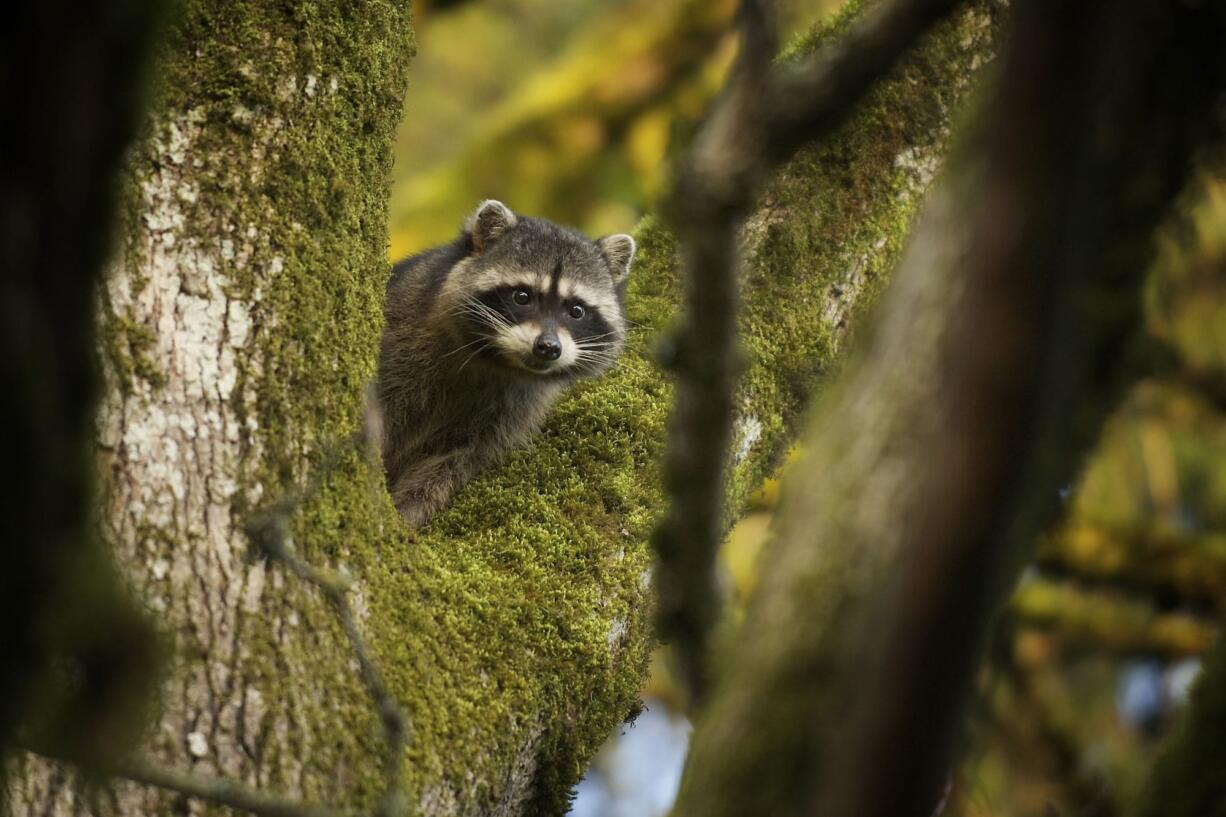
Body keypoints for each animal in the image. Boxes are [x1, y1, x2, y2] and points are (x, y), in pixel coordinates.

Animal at [377, 199, 637, 525]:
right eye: (522, 296)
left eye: (576, 311)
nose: (548, 347)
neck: (497, 360)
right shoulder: (402, 336)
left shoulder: (509, 412)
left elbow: (453, 461)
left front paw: (408, 509)